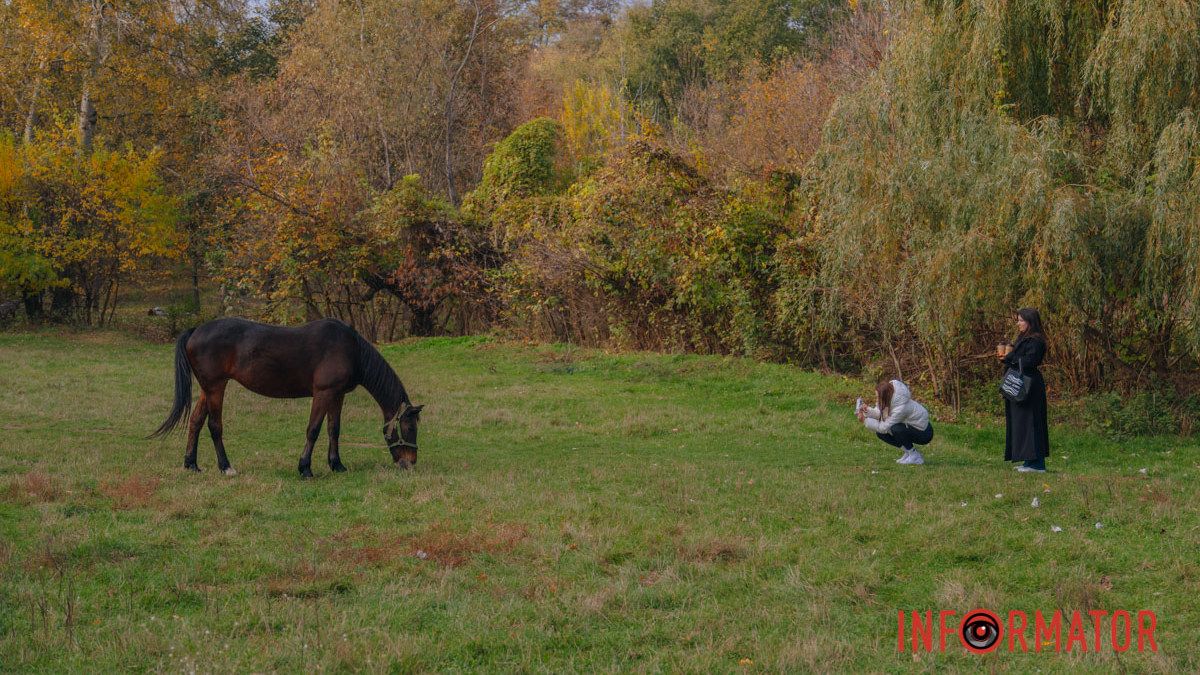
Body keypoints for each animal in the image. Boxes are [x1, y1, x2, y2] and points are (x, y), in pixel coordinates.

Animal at [151, 317, 423, 478]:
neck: (350, 349)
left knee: (195, 421)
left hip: (207, 389)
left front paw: (337, 465)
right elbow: (313, 430)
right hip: (216, 387)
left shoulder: (337, 396)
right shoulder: (323, 394)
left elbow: (333, 430)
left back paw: (191, 464)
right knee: (214, 425)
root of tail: (196, 330)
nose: (410, 463)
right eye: (410, 428)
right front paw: (305, 468)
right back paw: (226, 467)